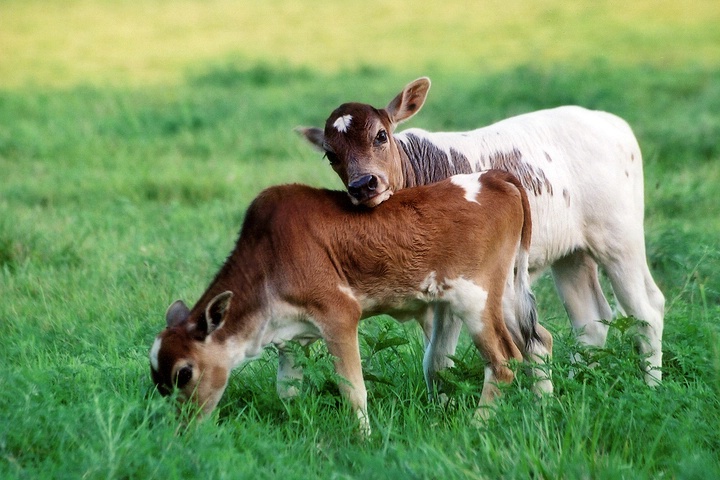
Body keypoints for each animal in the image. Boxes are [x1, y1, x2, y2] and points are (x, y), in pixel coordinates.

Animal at [146, 171, 552, 434]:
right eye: (158, 381)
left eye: (184, 373)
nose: (180, 431)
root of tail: (495, 177)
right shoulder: (291, 336)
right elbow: (287, 389)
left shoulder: (339, 315)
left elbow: (353, 390)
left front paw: (364, 439)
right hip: (507, 292)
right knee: (538, 342)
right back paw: (542, 406)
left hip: (476, 298)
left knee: (503, 362)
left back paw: (476, 426)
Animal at [298, 79, 664, 386]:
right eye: (331, 155)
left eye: (380, 136)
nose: (363, 184)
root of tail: (610, 122)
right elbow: (437, 359)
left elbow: (448, 357)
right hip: (571, 255)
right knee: (591, 321)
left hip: (619, 241)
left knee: (647, 312)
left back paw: (652, 386)